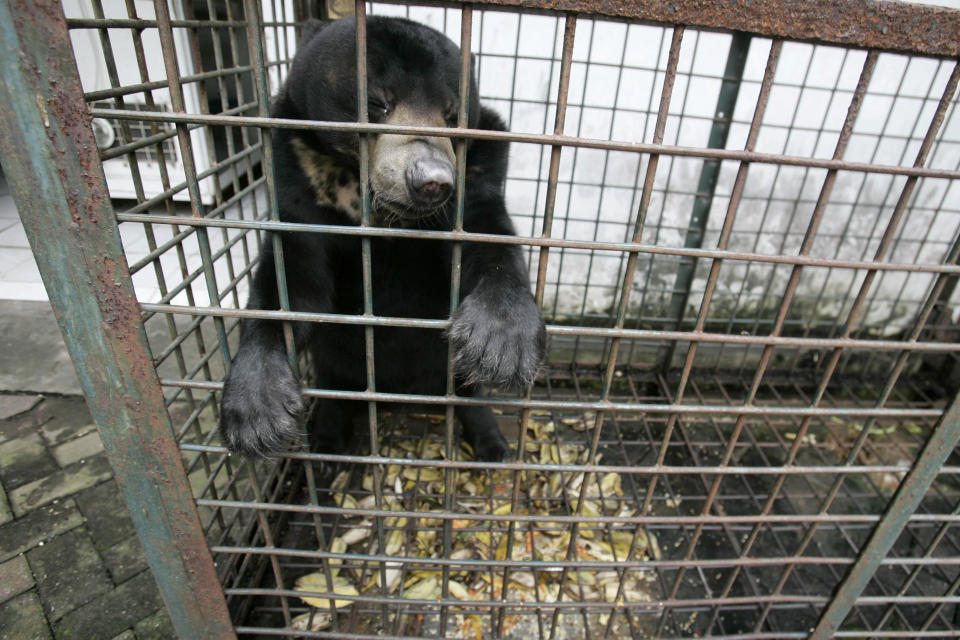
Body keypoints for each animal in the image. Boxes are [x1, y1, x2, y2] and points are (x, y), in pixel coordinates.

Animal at [219, 16, 548, 460]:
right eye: (377, 103)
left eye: (452, 116)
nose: (432, 180)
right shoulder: (298, 182)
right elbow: (294, 281)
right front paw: (255, 413)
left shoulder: (480, 169)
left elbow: (487, 235)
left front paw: (503, 341)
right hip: (340, 361)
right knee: (338, 385)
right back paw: (328, 444)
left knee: (466, 391)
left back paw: (490, 442)